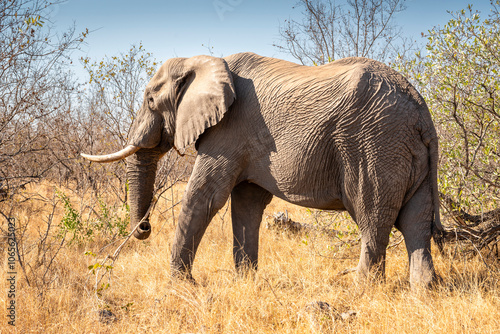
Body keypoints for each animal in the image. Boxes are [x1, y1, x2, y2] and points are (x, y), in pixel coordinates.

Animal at [81, 53, 442, 288]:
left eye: (150, 101)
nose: (144, 228)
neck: (202, 61)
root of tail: (421, 112)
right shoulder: (245, 142)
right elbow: (246, 203)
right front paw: (245, 282)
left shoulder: (229, 132)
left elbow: (205, 197)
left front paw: (181, 286)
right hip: (403, 150)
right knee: (416, 221)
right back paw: (423, 290)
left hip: (374, 144)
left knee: (372, 218)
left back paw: (362, 290)